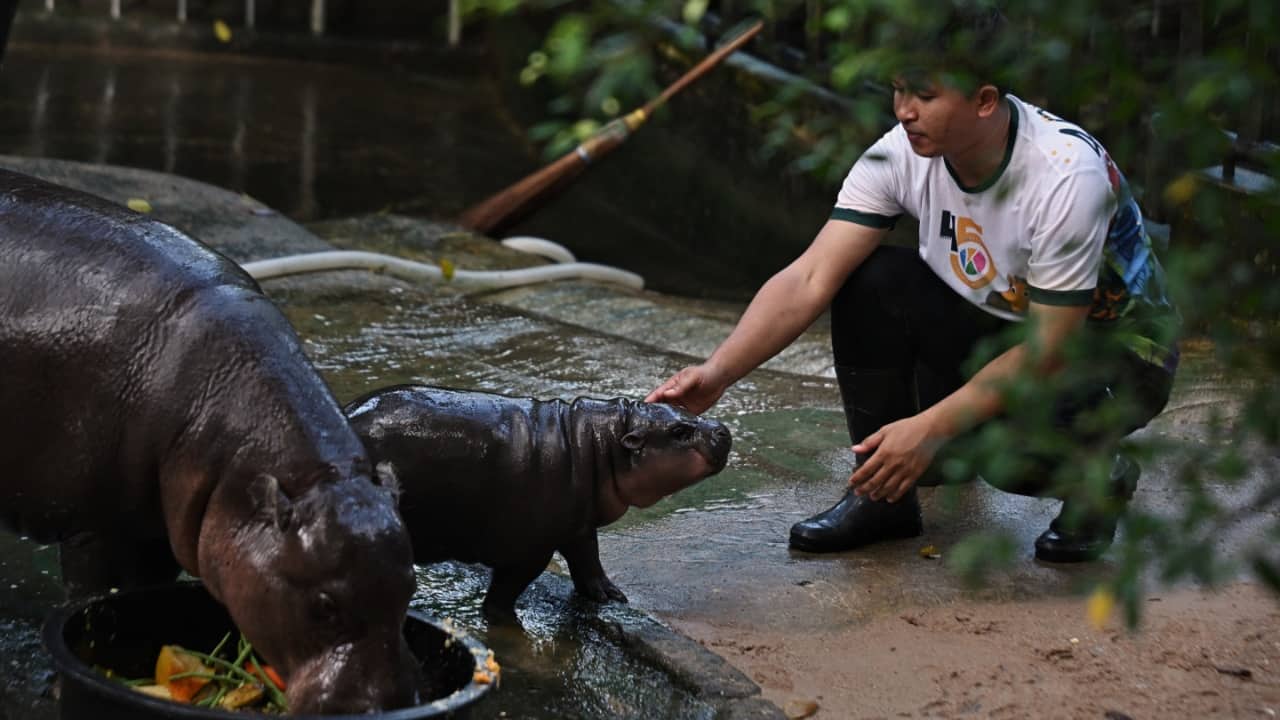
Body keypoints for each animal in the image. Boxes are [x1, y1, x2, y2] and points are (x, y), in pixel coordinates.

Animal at [0, 169, 422, 714]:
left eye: (411, 585)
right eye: (323, 606)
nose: (386, 705)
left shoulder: (150, 526)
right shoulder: (94, 527)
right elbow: (90, 596)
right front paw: (57, 684)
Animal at [343, 384, 733, 619]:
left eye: (684, 408)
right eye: (678, 431)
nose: (723, 430)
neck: (599, 444)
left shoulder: (579, 524)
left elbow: (588, 561)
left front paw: (610, 595)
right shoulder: (531, 549)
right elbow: (506, 590)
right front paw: (505, 621)